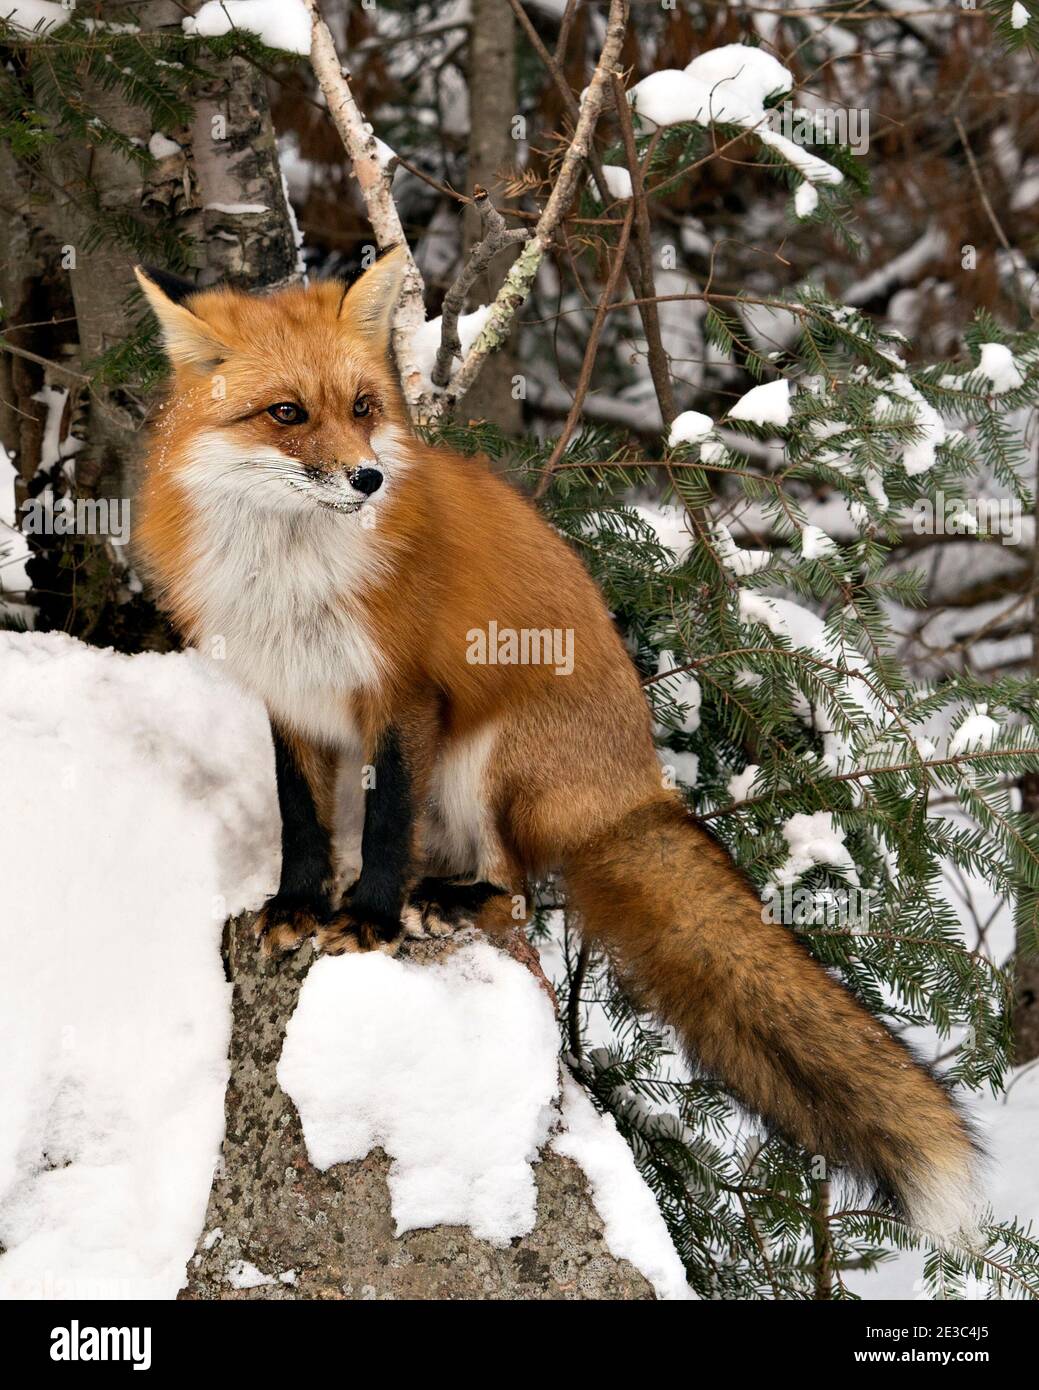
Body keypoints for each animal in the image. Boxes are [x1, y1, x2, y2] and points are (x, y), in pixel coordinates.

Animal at [136, 247, 984, 1239]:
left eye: (363, 406)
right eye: (285, 413)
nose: (367, 480)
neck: (289, 575)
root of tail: (638, 788)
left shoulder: (405, 695)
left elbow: (385, 827)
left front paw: (369, 921)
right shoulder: (286, 697)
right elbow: (303, 821)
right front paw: (299, 906)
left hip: (491, 761)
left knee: (513, 894)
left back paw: (444, 903)